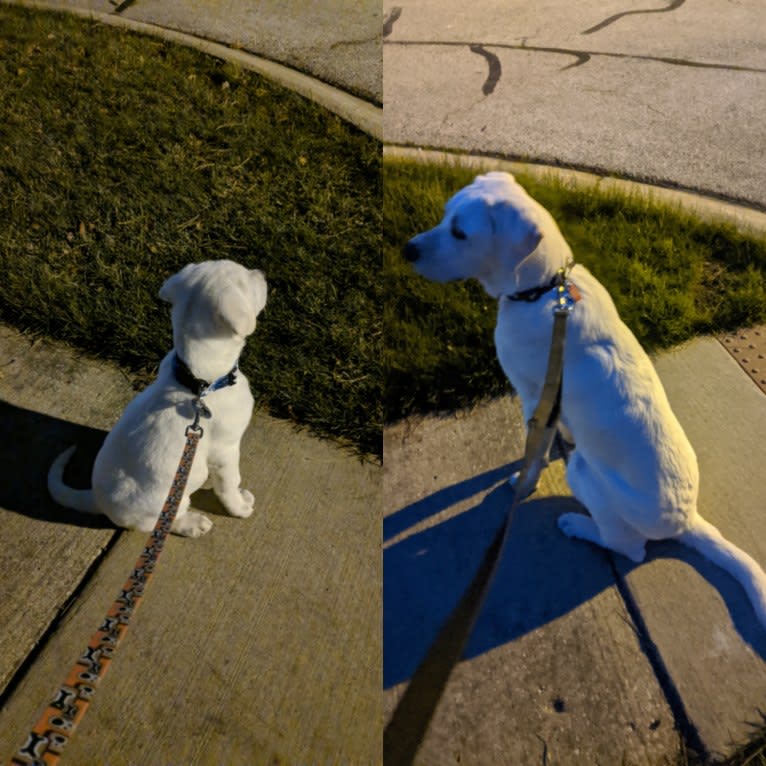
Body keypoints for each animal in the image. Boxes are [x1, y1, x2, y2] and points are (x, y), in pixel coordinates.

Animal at [49, 262, 268, 540]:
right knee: (163, 522)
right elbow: (230, 484)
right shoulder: (225, 451)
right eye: (247, 280)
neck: (199, 380)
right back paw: (192, 524)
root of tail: (97, 500)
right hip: (170, 501)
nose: (262, 273)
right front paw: (239, 507)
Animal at [408, 172, 766, 632]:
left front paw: (523, 482)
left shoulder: (533, 395)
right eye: (444, 216)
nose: (407, 249)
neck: (544, 289)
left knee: (629, 547)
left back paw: (578, 525)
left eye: (460, 233)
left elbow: (534, 453)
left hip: (585, 473)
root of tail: (686, 518)